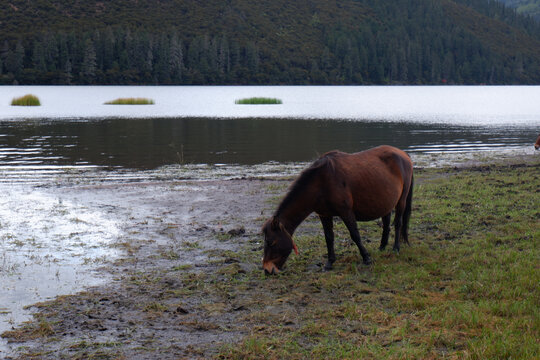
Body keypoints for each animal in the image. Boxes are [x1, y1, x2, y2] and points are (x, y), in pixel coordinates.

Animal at [262, 145, 414, 274]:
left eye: (271, 242)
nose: (267, 270)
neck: (321, 183)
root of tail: (403, 154)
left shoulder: (346, 212)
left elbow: (355, 235)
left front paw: (366, 258)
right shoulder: (324, 215)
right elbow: (329, 237)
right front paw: (330, 262)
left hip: (401, 201)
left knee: (398, 223)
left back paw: (396, 248)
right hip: (386, 202)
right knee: (386, 223)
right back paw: (382, 247)